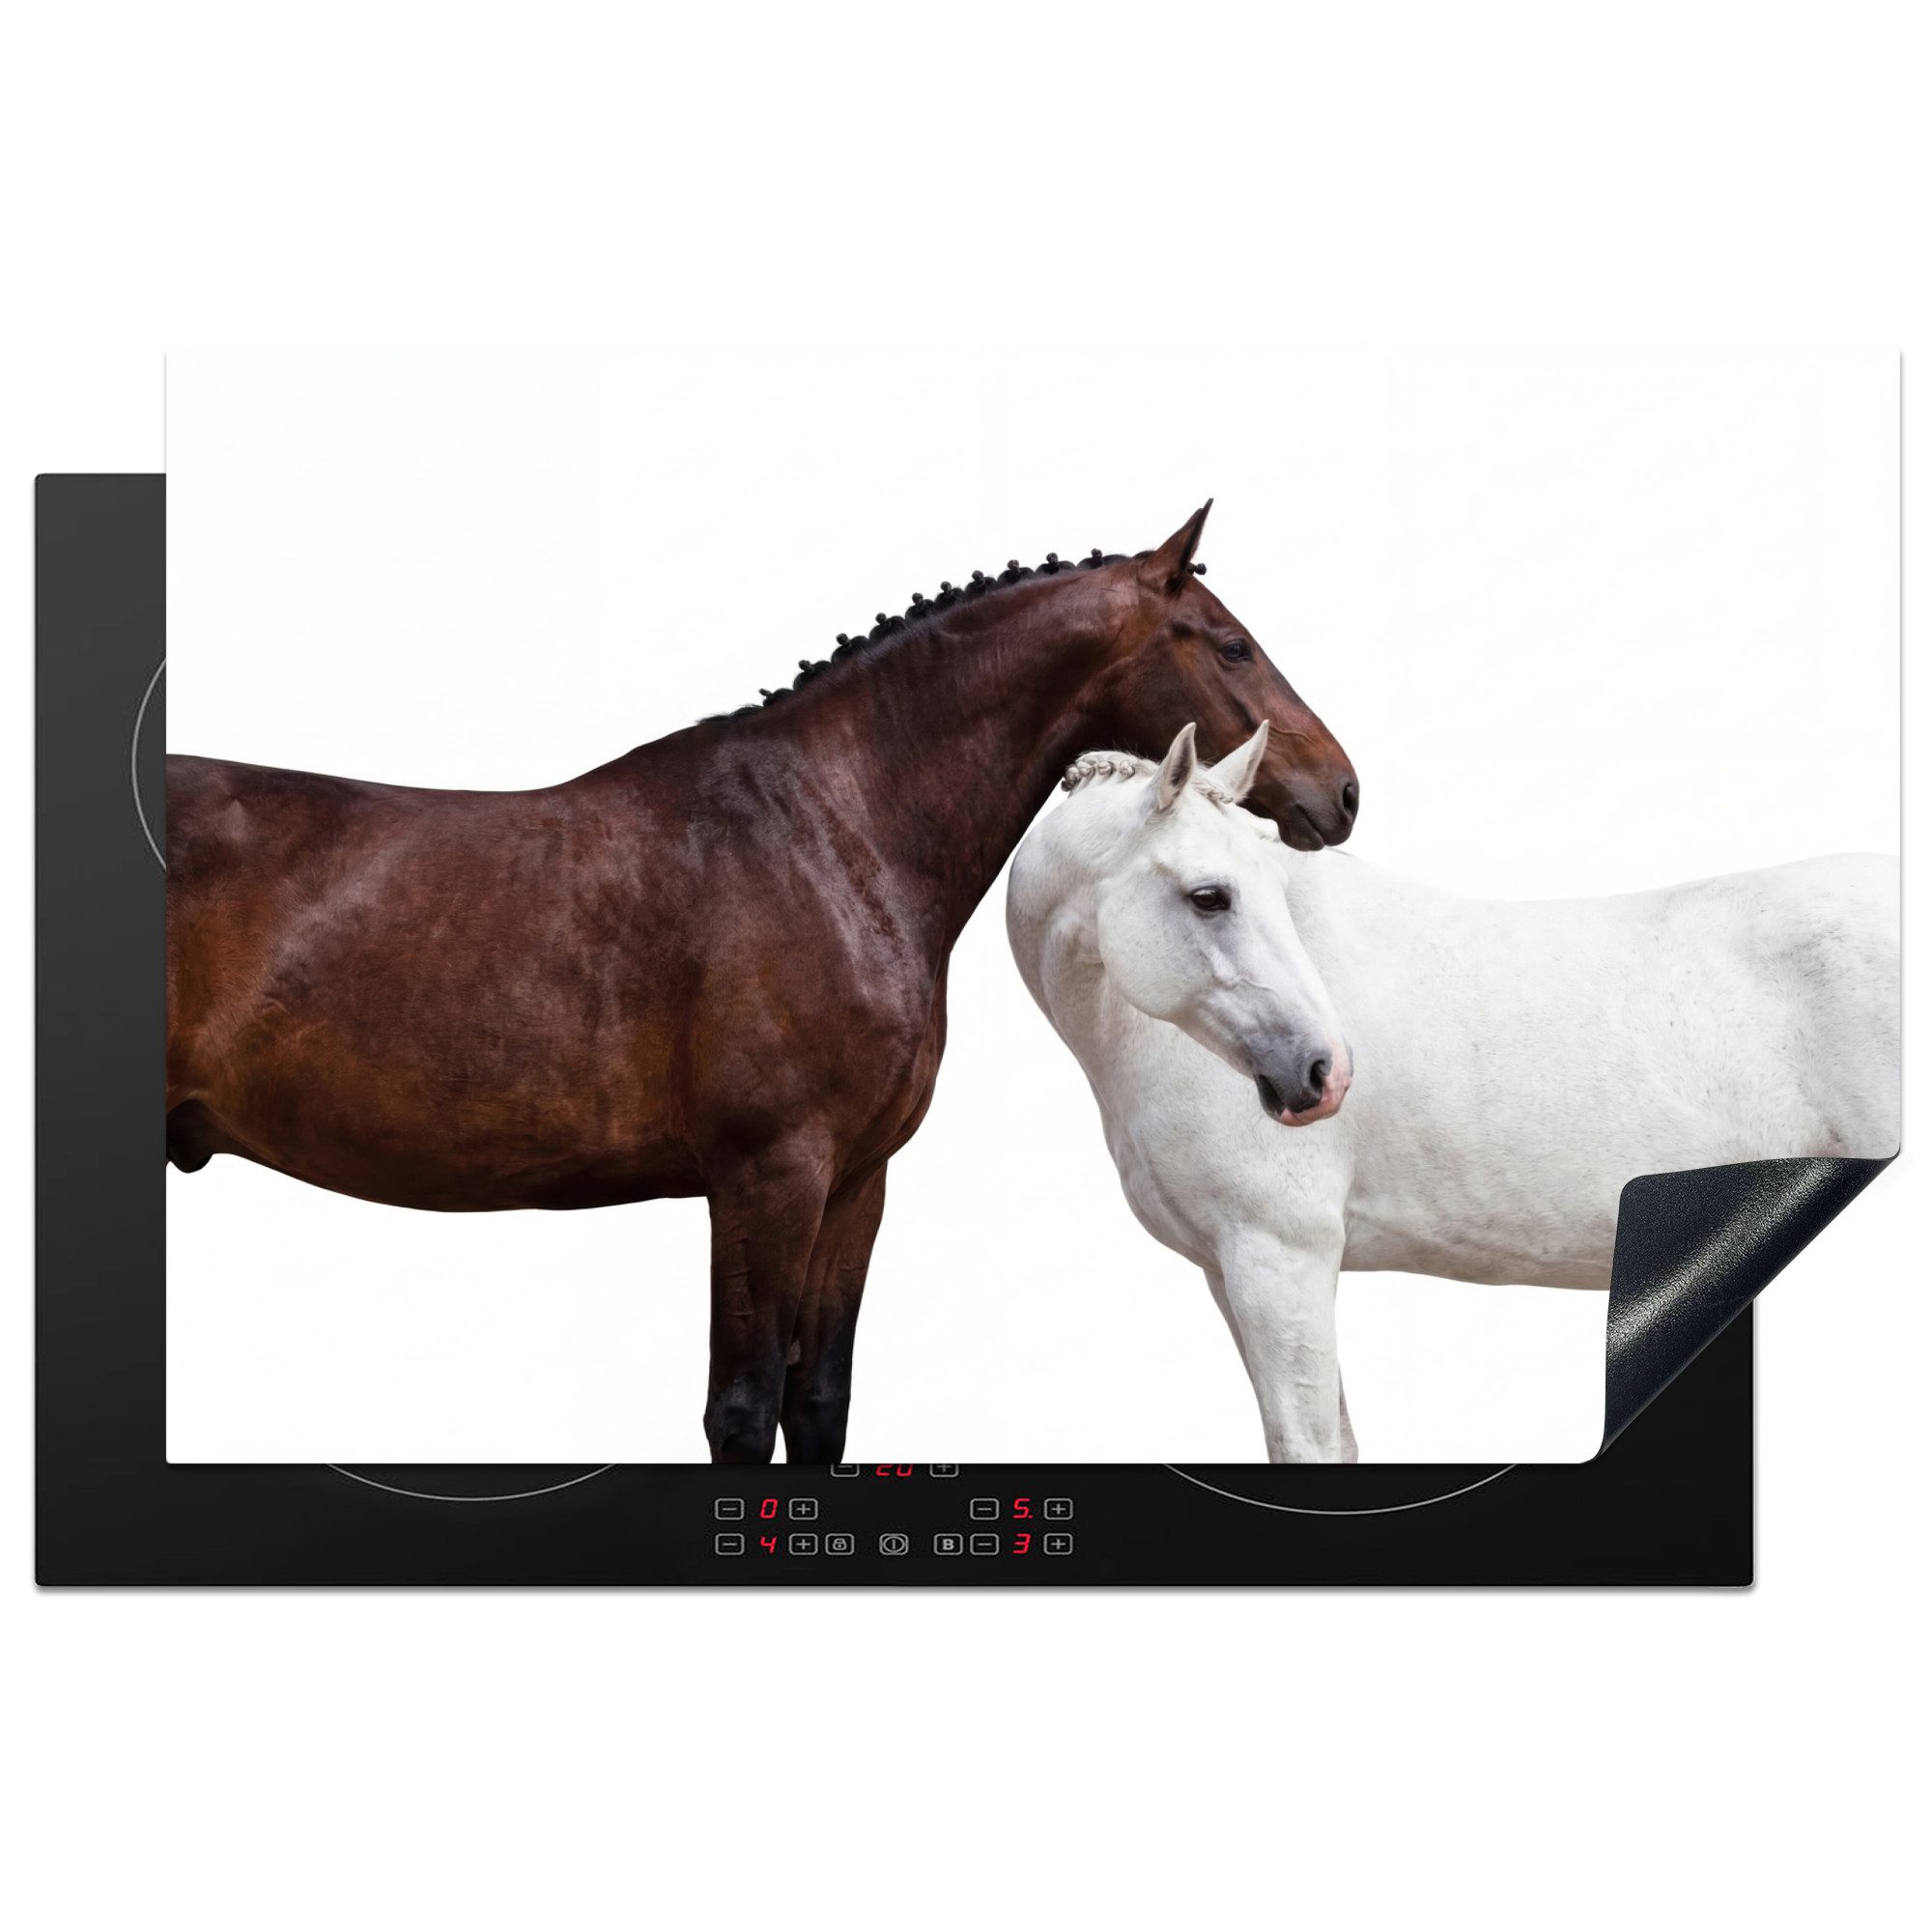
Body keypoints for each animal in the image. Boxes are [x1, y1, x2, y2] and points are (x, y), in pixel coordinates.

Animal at [166, 504, 1360, 1465]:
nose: (1342, 791)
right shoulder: (765, 1176)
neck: (826, 833)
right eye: (1232, 645)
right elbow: (740, 1412)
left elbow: (817, 1403)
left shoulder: (854, 1182)